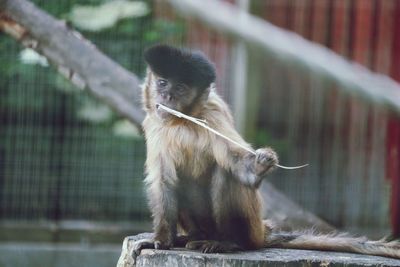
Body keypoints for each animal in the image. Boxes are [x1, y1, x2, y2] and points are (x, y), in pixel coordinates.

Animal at [132, 44, 400, 262]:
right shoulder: (154, 123)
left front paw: (257, 167)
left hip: (251, 227)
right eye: (162, 82)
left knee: (225, 172)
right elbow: (164, 181)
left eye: (181, 88)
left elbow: (237, 165)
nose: (166, 96)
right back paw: (189, 238)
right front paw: (161, 241)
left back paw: (228, 242)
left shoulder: (212, 114)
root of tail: (263, 231)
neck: (182, 122)